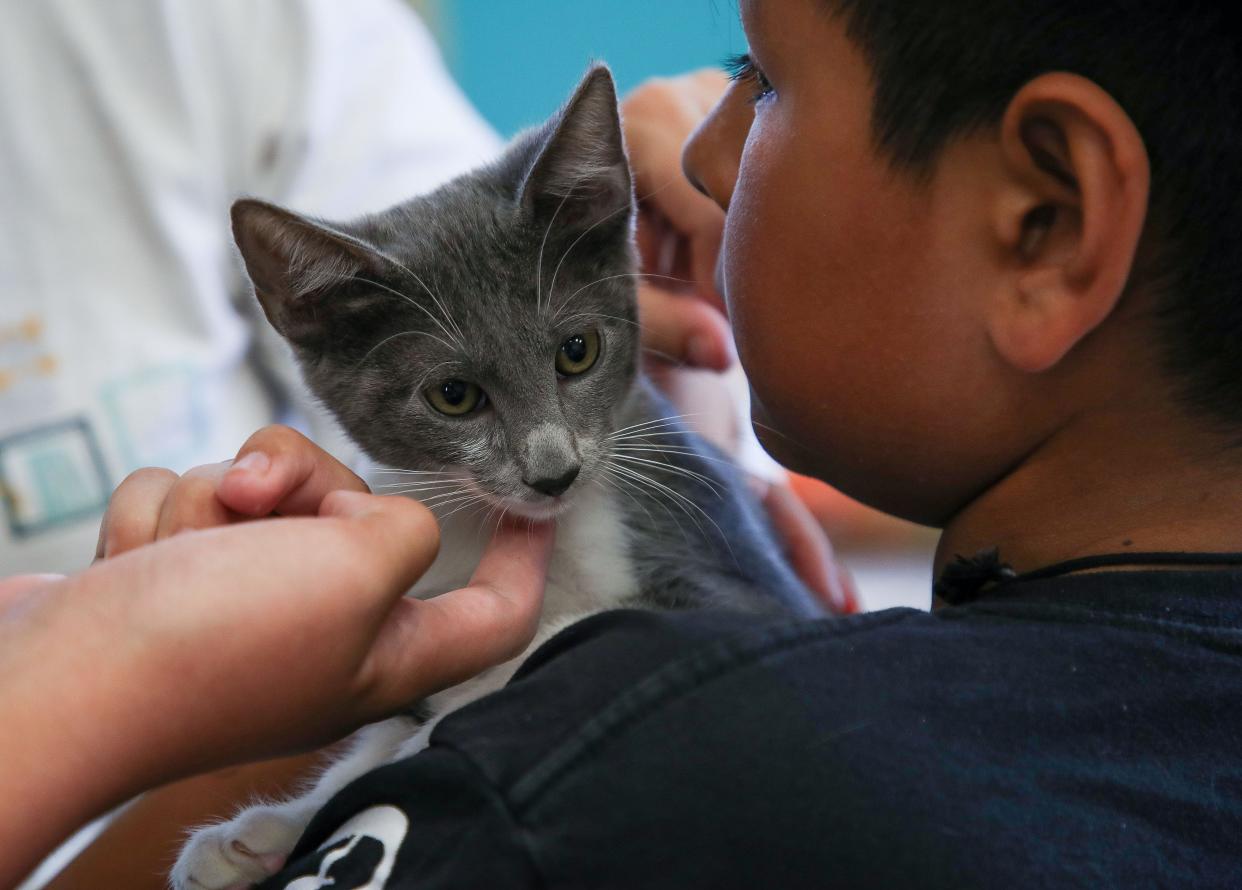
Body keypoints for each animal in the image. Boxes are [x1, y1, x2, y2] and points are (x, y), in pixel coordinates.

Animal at [172, 66, 814, 883]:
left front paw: (436, 725)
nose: (553, 472)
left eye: (578, 351)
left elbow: (586, 625)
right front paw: (262, 833)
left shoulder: (744, 582)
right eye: (454, 396)